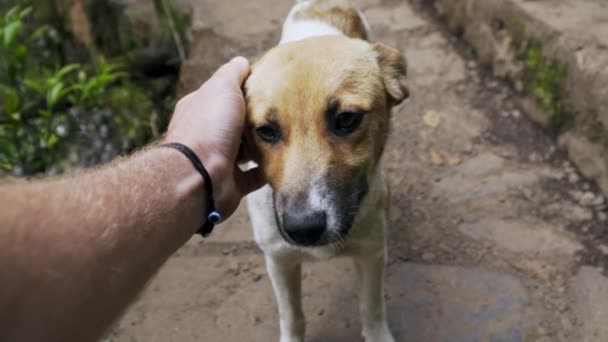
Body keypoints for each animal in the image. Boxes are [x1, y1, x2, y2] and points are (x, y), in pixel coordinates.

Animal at [243, 1, 408, 340]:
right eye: (265, 131)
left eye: (346, 119)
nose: (303, 228)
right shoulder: (279, 259)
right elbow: (292, 316)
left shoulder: (372, 253)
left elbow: (372, 308)